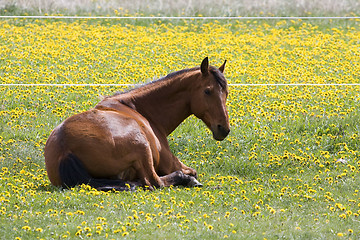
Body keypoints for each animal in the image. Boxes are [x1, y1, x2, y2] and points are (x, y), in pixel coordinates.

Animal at [44, 57, 231, 191]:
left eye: (226, 92)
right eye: (207, 91)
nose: (224, 129)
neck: (138, 108)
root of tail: (65, 149)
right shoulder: (171, 163)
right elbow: (191, 171)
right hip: (142, 147)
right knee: (154, 182)